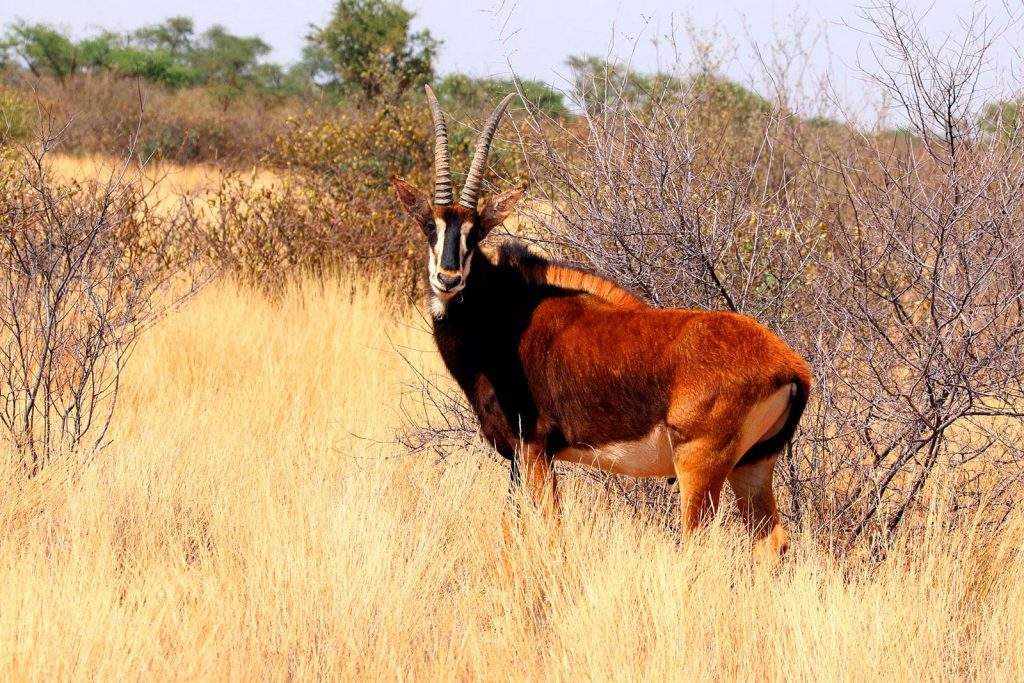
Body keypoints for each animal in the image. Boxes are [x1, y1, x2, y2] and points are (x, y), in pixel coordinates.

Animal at [389, 85, 806, 557]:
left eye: (476, 233)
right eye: (430, 226)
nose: (448, 279)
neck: (507, 317)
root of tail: (791, 365)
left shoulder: (535, 450)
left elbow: (550, 526)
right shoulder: (518, 457)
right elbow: (511, 525)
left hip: (699, 466)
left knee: (695, 540)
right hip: (752, 466)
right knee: (772, 541)